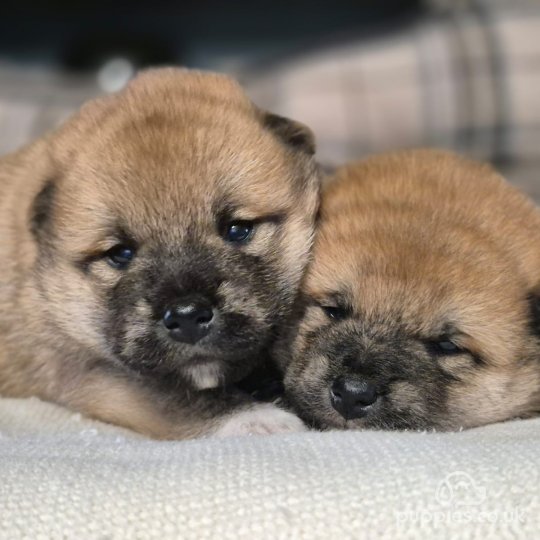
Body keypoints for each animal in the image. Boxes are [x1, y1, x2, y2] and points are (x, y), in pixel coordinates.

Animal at [0, 67, 320, 438]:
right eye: (121, 253)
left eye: (238, 229)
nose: (187, 317)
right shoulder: (93, 373)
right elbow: (176, 397)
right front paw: (258, 419)